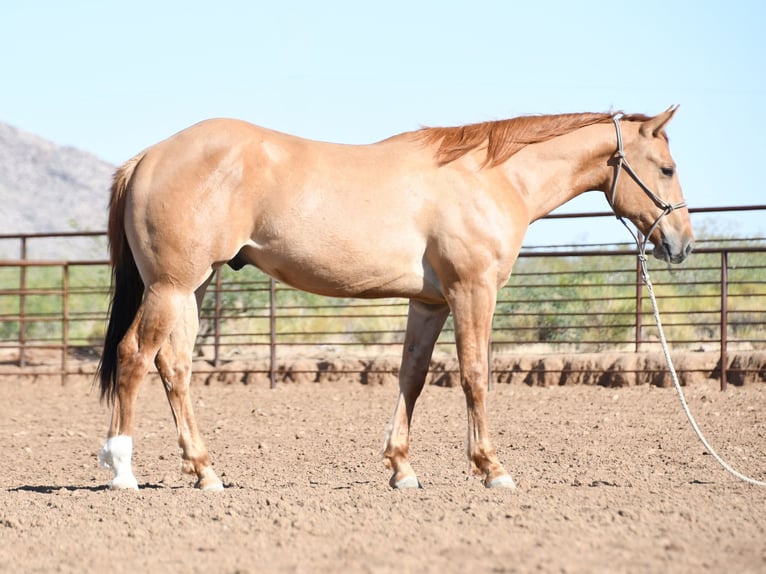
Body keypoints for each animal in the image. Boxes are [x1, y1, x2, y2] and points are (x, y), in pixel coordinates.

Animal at [96, 107, 693, 491]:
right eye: (666, 168)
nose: (681, 243)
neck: (489, 176)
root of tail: (148, 157)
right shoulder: (471, 290)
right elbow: (475, 374)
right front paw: (492, 469)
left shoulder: (429, 303)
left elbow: (413, 376)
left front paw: (402, 469)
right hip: (170, 287)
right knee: (135, 357)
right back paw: (122, 469)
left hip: (190, 289)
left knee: (174, 367)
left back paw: (205, 472)